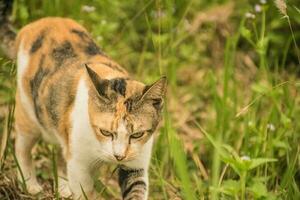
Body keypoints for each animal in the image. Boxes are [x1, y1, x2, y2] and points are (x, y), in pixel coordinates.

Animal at [0, 0, 166, 199]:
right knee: (22, 148)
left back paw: (63, 188)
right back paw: (30, 184)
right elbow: (83, 189)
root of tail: (33, 25)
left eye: (137, 135)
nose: (119, 156)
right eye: (105, 132)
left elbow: (136, 189)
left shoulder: (136, 163)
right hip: (29, 115)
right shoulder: (78, 163)